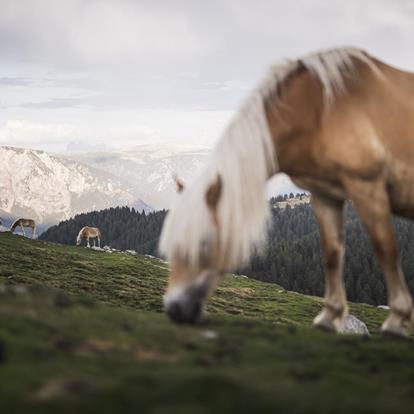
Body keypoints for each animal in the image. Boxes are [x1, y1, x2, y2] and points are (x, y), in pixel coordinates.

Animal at [160, 46, 414, 336]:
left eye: (205, 242)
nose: (175, 310)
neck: (322, 110)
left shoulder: (367, 186)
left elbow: (386, 249)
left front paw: (395, 321)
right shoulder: (325, 195)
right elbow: (331, 254)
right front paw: (329, 317)